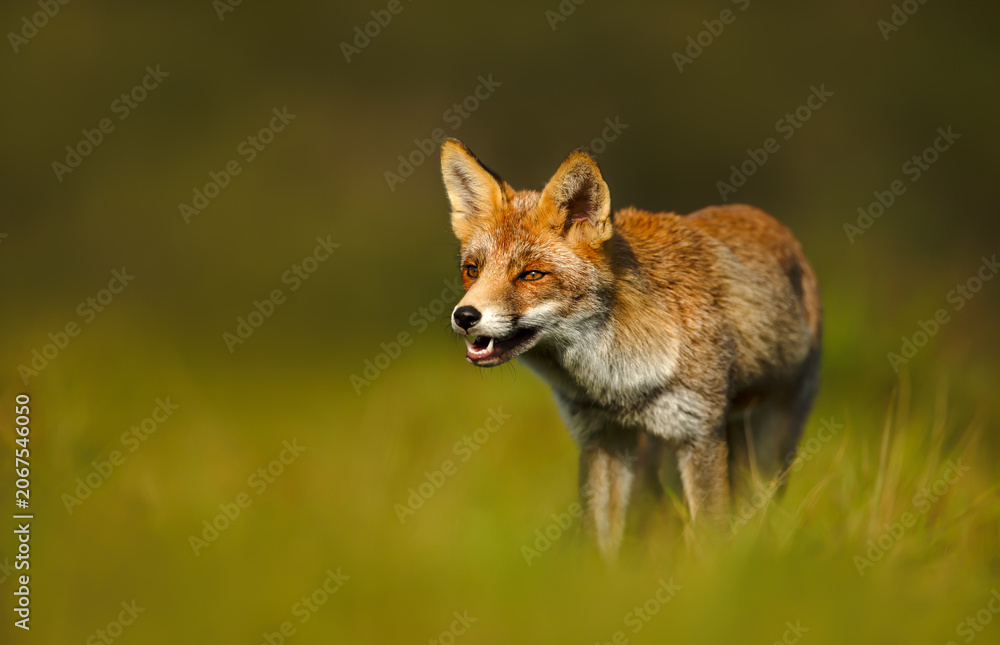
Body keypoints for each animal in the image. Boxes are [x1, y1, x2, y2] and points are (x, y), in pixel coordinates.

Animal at [440, 138, 821, 560]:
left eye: (532, 275)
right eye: (472, 270)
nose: (465, 316)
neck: (616, 382)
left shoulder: (700, 434)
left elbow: (710, 536)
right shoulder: (599, 437)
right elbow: (599, 540)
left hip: (767, 445)